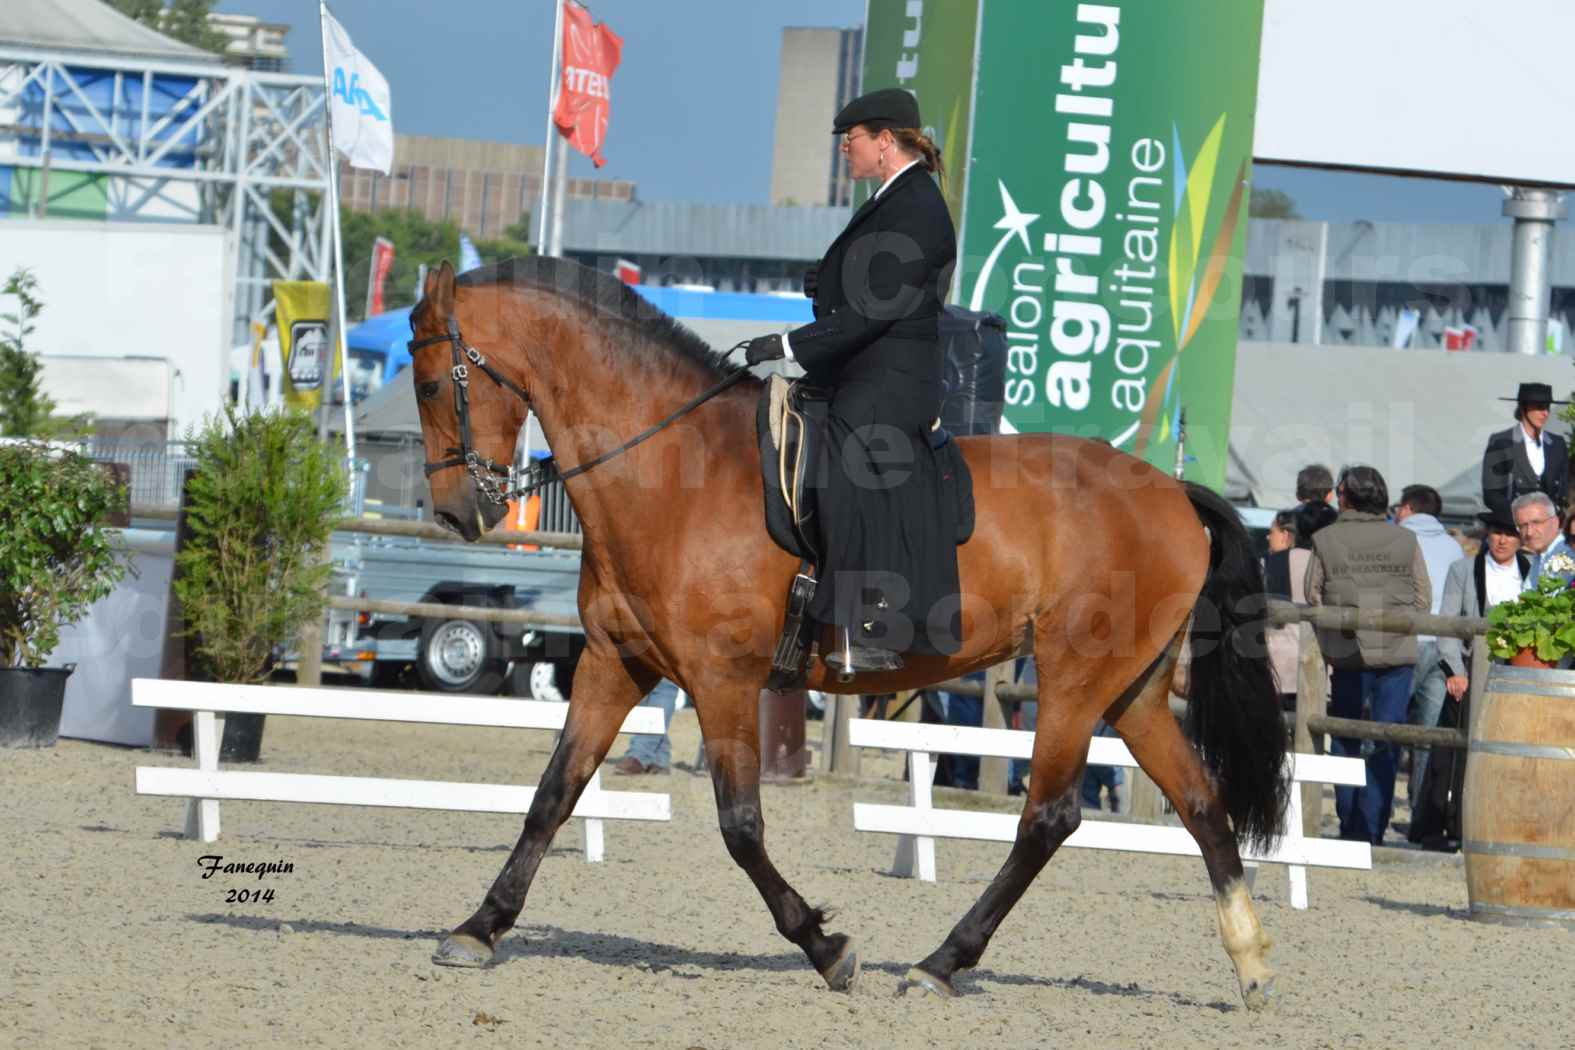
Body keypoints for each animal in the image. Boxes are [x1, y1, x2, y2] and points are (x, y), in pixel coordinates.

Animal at [400, 256, 1285, 1007]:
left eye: (431, 382)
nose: (456, 513)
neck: (672, 471)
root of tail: (1171, 491)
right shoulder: (615, 664)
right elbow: (551, 795)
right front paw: (477, 930)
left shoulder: (722, 681)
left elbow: (740, 827)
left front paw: (827, 948)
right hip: (1132, 689)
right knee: (1199, 803)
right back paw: (1249, 965)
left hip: (1073, 680)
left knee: (1048, 817)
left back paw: (940, 963)